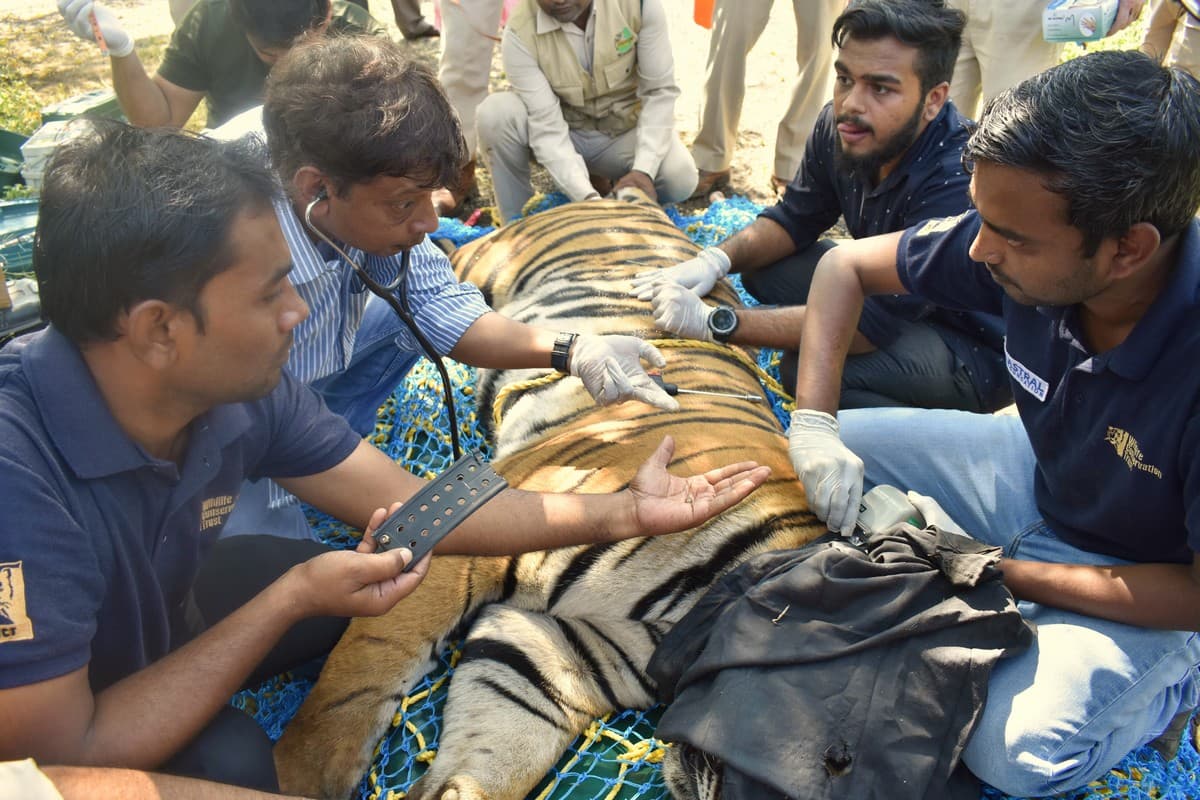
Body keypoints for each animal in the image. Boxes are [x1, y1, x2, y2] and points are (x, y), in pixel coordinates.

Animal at [276, 191, 830, 800]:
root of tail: (625, 198)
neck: (681, 614)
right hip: (484, 261)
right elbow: (361, 677)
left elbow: (497, 751)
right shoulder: (473, 529)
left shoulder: (561, 651)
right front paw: (295, 776)